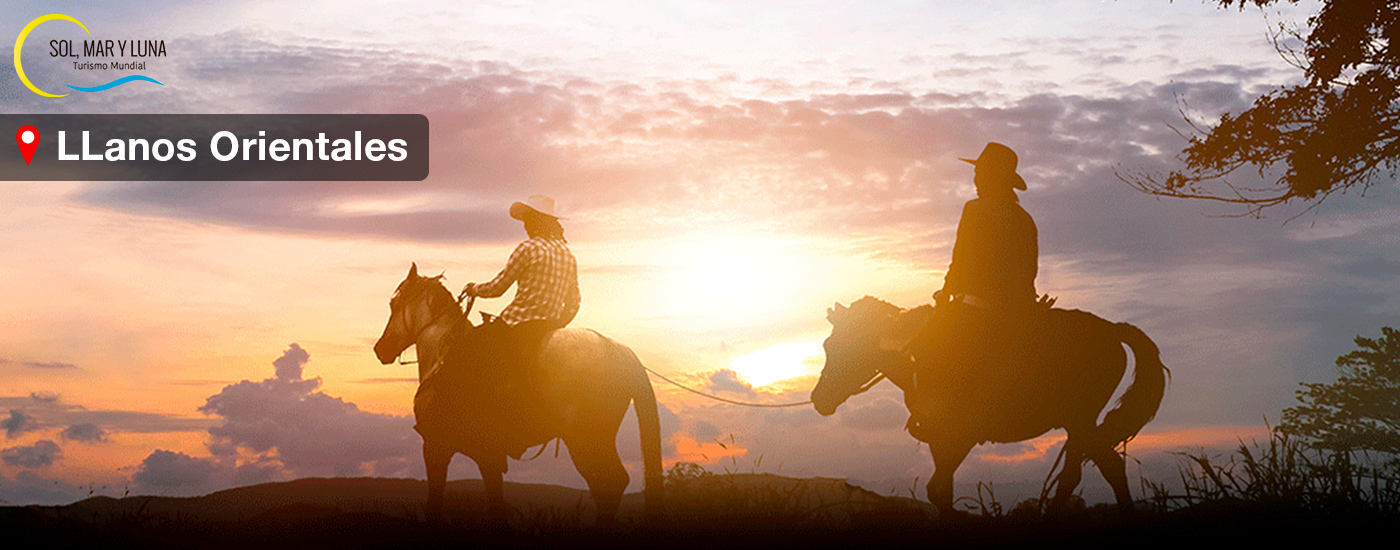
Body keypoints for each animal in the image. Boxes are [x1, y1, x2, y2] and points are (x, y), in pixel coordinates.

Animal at [369, 263, 658, 526]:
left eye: (394, 303)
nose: (380, 349)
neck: (442, 354)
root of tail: (622, 352)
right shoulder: (489, 457)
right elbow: (496, 505)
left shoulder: (436, 447)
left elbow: (435, 504)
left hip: (587, 442)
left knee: (609, 484)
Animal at [812, 295, 1170, 515]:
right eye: (828, 344)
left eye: (848, 346)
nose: (818, 400)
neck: (918, 353)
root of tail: (1112, 329)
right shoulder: (940, 440)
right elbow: (940, 489)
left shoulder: (957, 437)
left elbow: (938, 490)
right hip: (1080, 423)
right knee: (1101, 469)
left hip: (1080, 419)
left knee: (1083, 474)